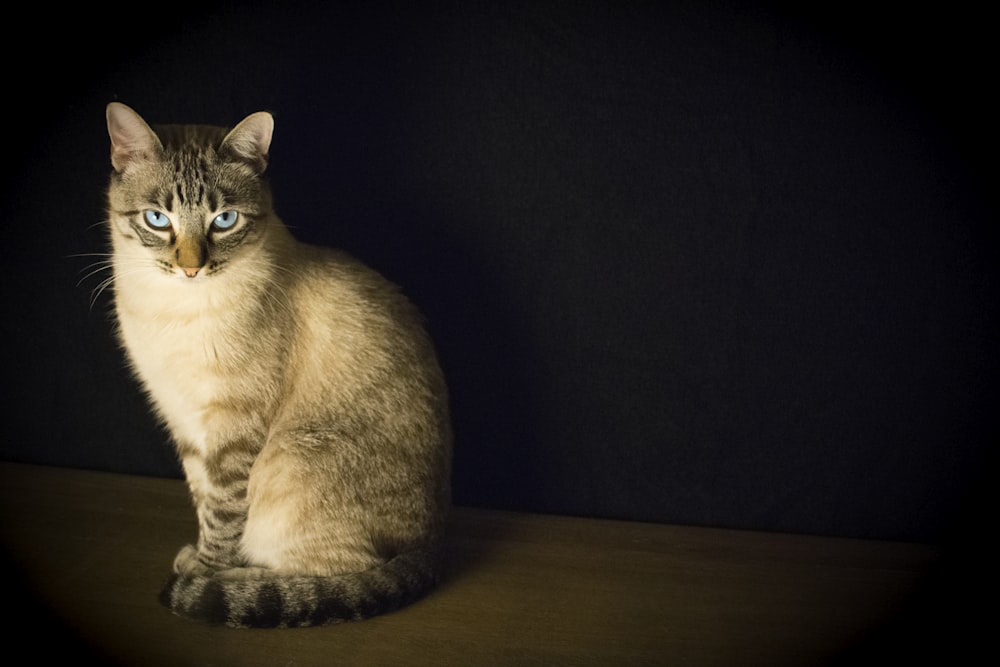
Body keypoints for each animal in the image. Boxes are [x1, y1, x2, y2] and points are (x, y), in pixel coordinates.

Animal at [102, 102, 454, 628]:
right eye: (157, 219)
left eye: (224, 220)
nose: (191, 268)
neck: (171, 311)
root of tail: (433, 542)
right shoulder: (186, 424)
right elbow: (203, 501)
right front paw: (198, 557)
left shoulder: (233, 429)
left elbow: (224, 516)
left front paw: (204, 572)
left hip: (289, 457)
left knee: (339, 573)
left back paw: (233, 581)